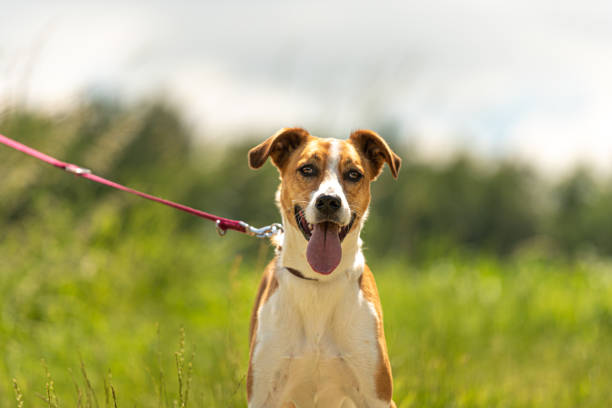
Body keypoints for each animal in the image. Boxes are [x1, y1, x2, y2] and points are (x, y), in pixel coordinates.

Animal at [246, 127, 400, 408]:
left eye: (354, 174)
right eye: (307, 169)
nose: (329, 201)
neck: (318, 282)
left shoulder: (377, 396)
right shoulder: (263, 395)